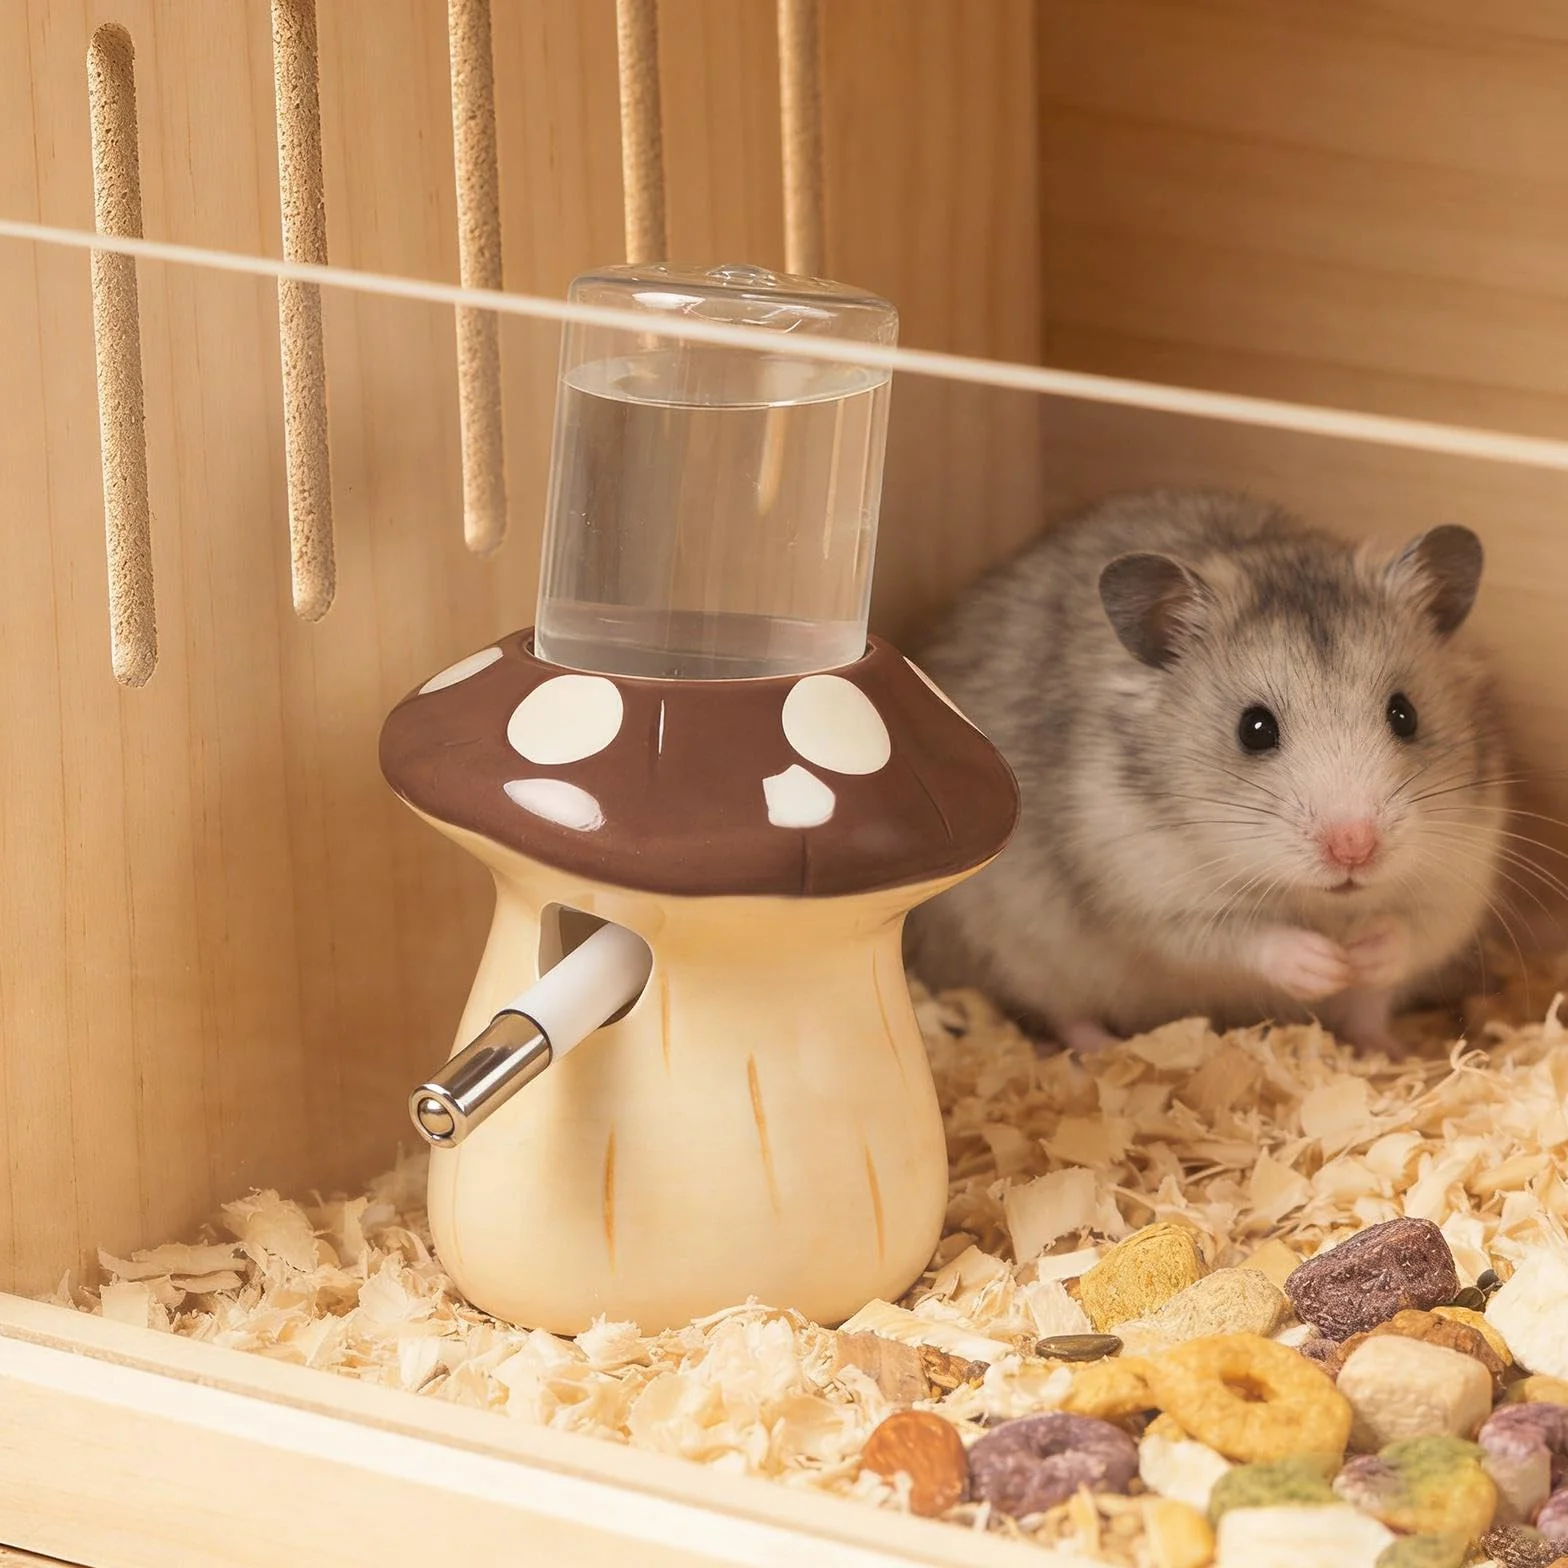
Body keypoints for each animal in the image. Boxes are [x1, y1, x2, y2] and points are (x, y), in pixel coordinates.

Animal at [905, 489, 1508, 1056]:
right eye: (1254, 729)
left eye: (1404, 715)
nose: (1354, 849)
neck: (1318, 902)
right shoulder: (1154, 898)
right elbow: (1241, 938)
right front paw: (1325, 964)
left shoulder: (1457, 882)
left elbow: (1409, 932)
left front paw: (1359, 956)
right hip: (1029, 957)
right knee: (1066, 1014)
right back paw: (1103, 1050)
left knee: (1368, 1013)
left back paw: (1392, 1051)